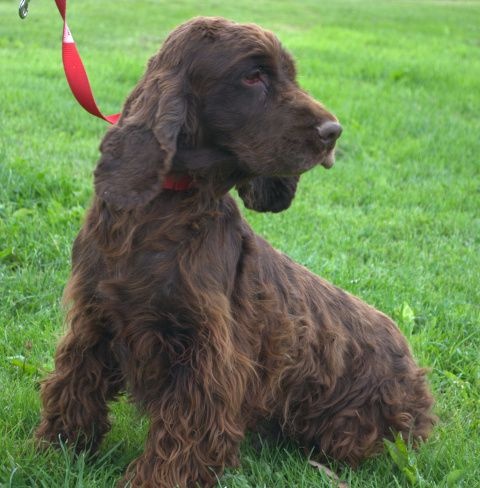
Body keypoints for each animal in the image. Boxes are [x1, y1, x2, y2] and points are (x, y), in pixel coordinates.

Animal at [37, 16, 436, 488]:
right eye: (253, 76)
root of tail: (413, 364)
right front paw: (55, 452)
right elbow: (74, 386)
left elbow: (183, 432)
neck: (164, 212)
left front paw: (155, 479)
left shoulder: (205, 355)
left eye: (291, 75)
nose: (333, 133)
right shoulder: (94, 318)